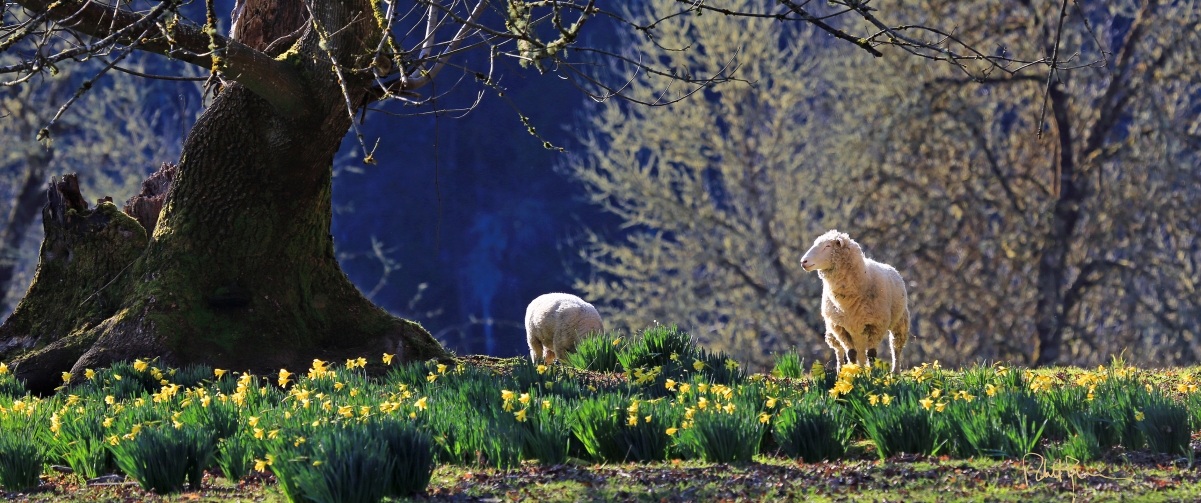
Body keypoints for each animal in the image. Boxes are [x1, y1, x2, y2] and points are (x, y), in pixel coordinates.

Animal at [800, 230, 911, 372]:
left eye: (827, 246)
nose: (803, 261)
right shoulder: (840, 327)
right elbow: (851, 353)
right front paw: (853, 373)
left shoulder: (877, 325)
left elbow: (872, 353)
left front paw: (872, 374)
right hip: (840, 330)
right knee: (841, 350)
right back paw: (843, 370)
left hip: (899, 321)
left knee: (895, 347)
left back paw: (894, 372)